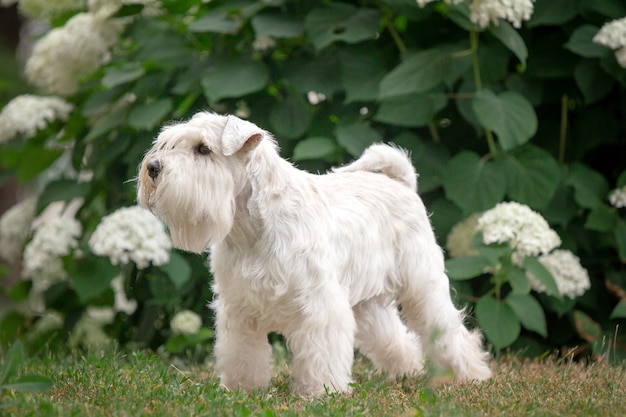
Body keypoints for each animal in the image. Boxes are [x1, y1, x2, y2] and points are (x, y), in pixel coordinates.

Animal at [135, 111, 488, 396]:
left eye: (203, 149)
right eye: (168, 143)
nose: (152, 167)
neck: (253, 225)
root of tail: (402, 184)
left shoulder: (319, 306)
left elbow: (322, 352)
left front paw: (323, 393)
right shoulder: (239, 307)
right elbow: (242, 354)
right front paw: (240, 390)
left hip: (423, 287)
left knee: (450, 332)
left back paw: (472, 375)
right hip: (367, 306)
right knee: (396, 338)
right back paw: (407, 371)